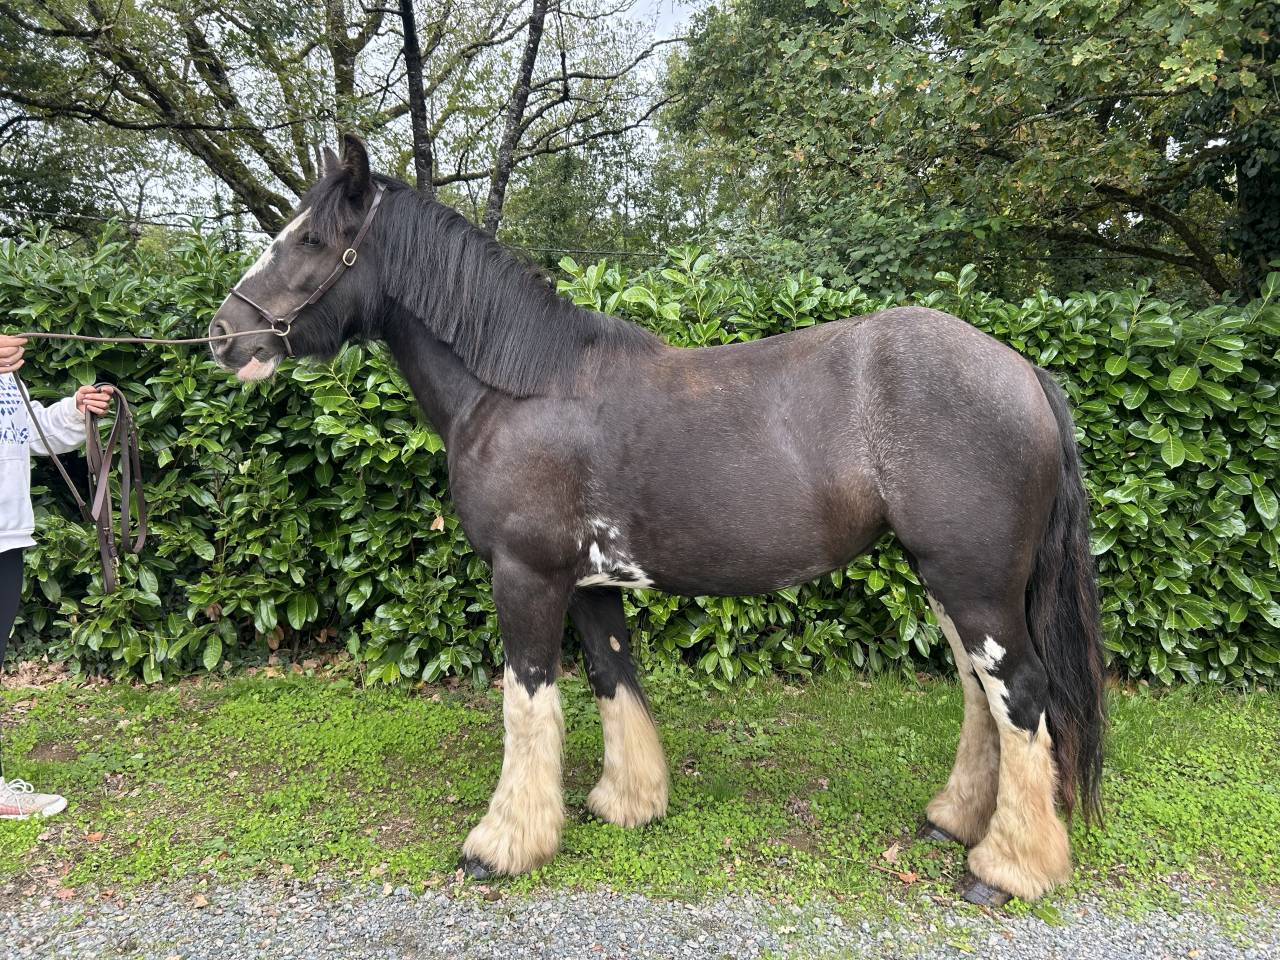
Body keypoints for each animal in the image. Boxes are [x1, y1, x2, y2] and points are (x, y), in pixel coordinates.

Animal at [207, 135, 1106, 907]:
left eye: (311, 239)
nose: (223, 334)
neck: (519, 389)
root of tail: (1022, 369)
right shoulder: (589, 582)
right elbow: (614, 677)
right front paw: (627, 804)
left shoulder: (526, 576)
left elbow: (526, 702)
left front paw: (502, 846)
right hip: (948, 580)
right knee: (980, 691)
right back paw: (954, 822)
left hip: (975, 581)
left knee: (1021, 693)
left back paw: (1007, 868)